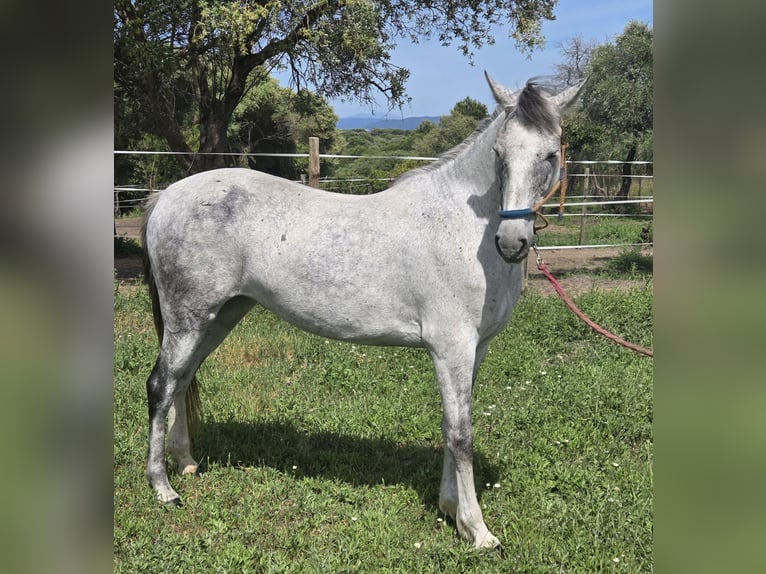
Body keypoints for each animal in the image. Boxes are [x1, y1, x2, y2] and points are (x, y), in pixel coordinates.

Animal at [140, 73, 583, 548]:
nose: (512, 241)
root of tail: (166, 196)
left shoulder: (473, 351)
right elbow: (460, 435)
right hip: (188, 319)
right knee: (160, 386)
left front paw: (449, 510)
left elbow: (450, 427)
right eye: (499, 153)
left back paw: (186, 463)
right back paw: (162, 488)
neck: (460, 228)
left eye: (550, 153)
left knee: (182, 380)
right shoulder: (452, 349)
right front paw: (478, 531)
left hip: (219, 317)